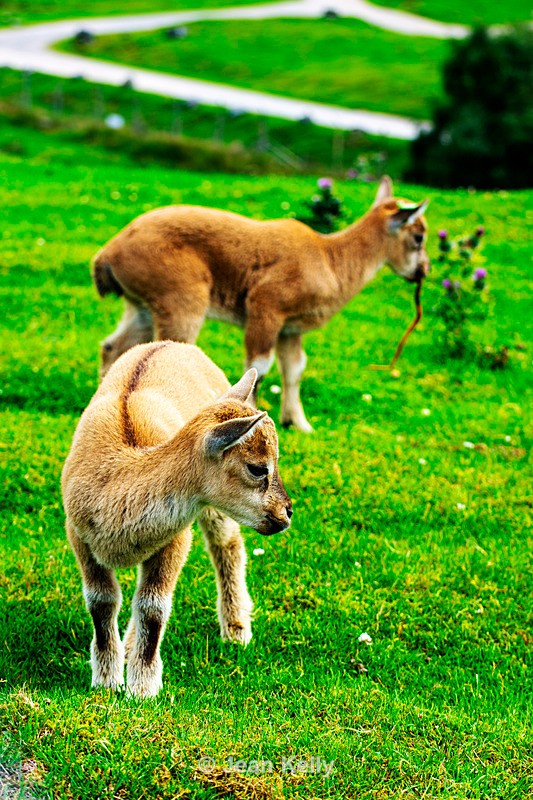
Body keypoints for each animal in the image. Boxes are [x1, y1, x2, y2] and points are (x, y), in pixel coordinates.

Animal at [61, 341, 292, 697]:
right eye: (257, 468)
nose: (286, 512)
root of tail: (174, 344)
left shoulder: (175, 536)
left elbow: (153, 606)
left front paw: (143, 689)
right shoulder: (79, 536)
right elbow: (102, 601)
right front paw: (107, 683)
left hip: (213, 511)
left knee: (227, 546)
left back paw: (236, 629)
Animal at [93, 176, 429, 433]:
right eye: (418, 237)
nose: (423, 271)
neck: (329, 259)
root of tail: (108, 255)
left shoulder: (290, 329)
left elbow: (294, 369)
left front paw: (299, 424)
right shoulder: (266, 308)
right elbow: (258, 367)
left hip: (141, 307)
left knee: (114, 346)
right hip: (181, 300)